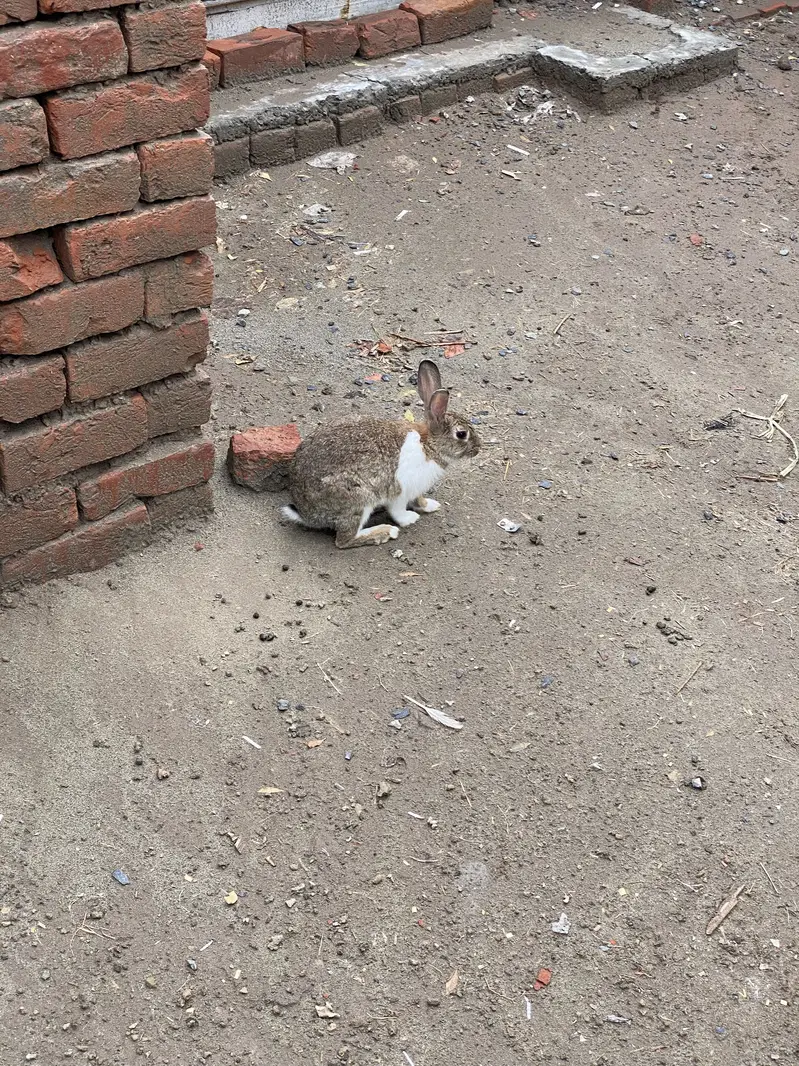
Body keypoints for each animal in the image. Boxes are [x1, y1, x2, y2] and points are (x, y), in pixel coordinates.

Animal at [281, 359, 480, 548]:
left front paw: (429, 505)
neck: (429, 446)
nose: (478, 449)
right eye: (461, 434)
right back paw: (384, 532)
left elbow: (419, 499)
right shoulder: (400, 490)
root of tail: (306, 514)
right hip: (358, 499)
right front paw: (409, 519)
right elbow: (398, 511)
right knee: (344, 540)